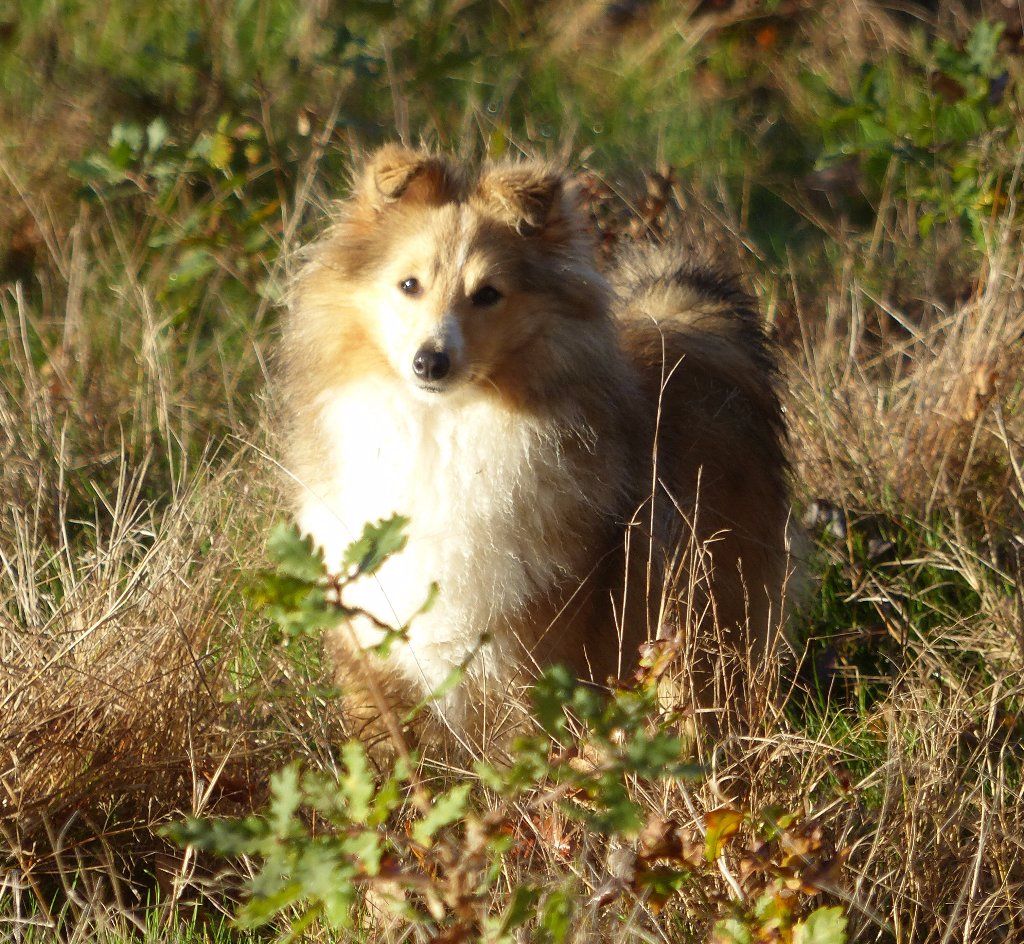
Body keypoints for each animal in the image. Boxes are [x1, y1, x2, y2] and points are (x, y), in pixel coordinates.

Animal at [284, 145, 786, 749]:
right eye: (409, 285)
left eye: (488, 294)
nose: (430, 362)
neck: (440, 427)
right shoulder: (372, 653)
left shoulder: (526, 659)